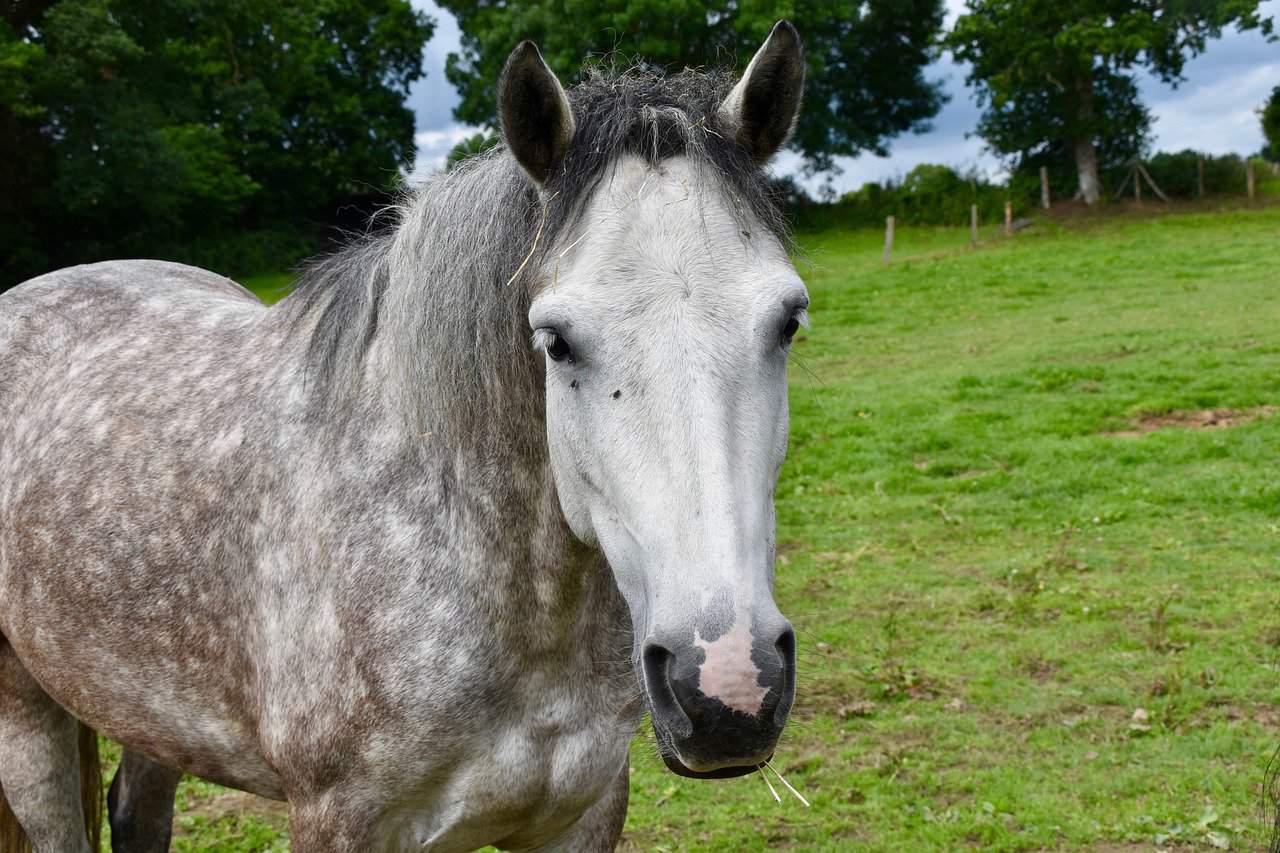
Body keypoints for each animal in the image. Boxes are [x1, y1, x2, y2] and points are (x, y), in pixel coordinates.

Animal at [0, 21, 808, 852]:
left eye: (788, 320)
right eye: (556, 341)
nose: (727, 685)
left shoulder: (581, 812)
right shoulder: (339, 821)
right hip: (27, 718)